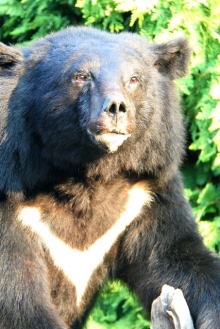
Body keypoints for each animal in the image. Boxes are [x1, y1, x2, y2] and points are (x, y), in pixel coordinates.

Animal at [0, 27, 220, 328]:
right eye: (80, 76)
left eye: (134, 79)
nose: (116, 108)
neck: (88, 175)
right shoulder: (13, 199)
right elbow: (16, 299)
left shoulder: (146, 194)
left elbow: (177, 256)